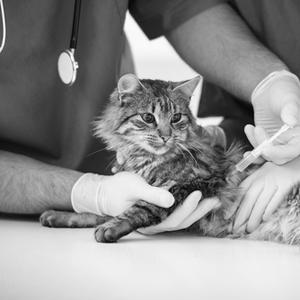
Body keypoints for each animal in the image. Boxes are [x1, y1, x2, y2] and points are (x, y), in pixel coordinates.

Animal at [40, 74, 300, 245]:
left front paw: (111, 228)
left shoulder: (196, 182)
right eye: (148, 117)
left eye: (176, 117)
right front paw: (63, 215)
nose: (165, 136)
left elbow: (141, 207)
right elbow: (101, 210)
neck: (145, 160)